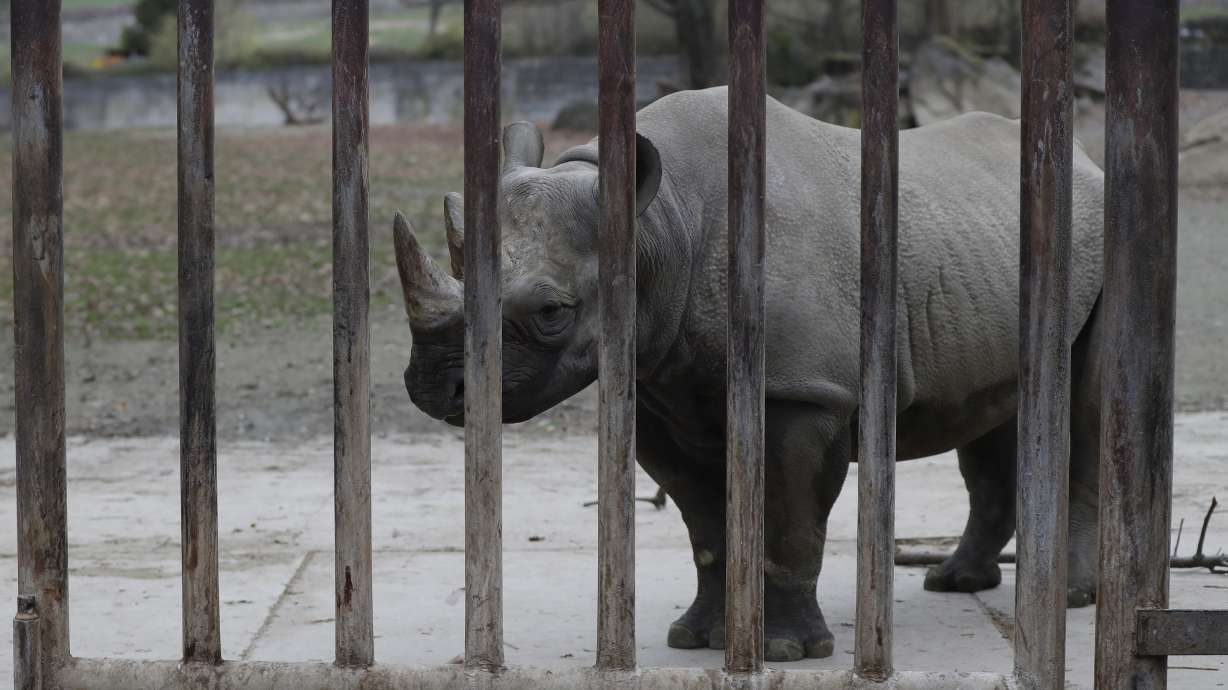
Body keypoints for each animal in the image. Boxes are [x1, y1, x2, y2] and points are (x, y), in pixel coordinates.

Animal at [392, 86, 1106, 662]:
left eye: (550, 313)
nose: (433, 388)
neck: (661, 225)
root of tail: (1089, 160)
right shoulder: (658, 387)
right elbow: (707, 525)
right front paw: (699, 636)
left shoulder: (806, 394)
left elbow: (790, 522)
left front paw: (788, 650)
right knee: (990, 417)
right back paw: (957, 582)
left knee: (1082, 405)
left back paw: (1071, 596)